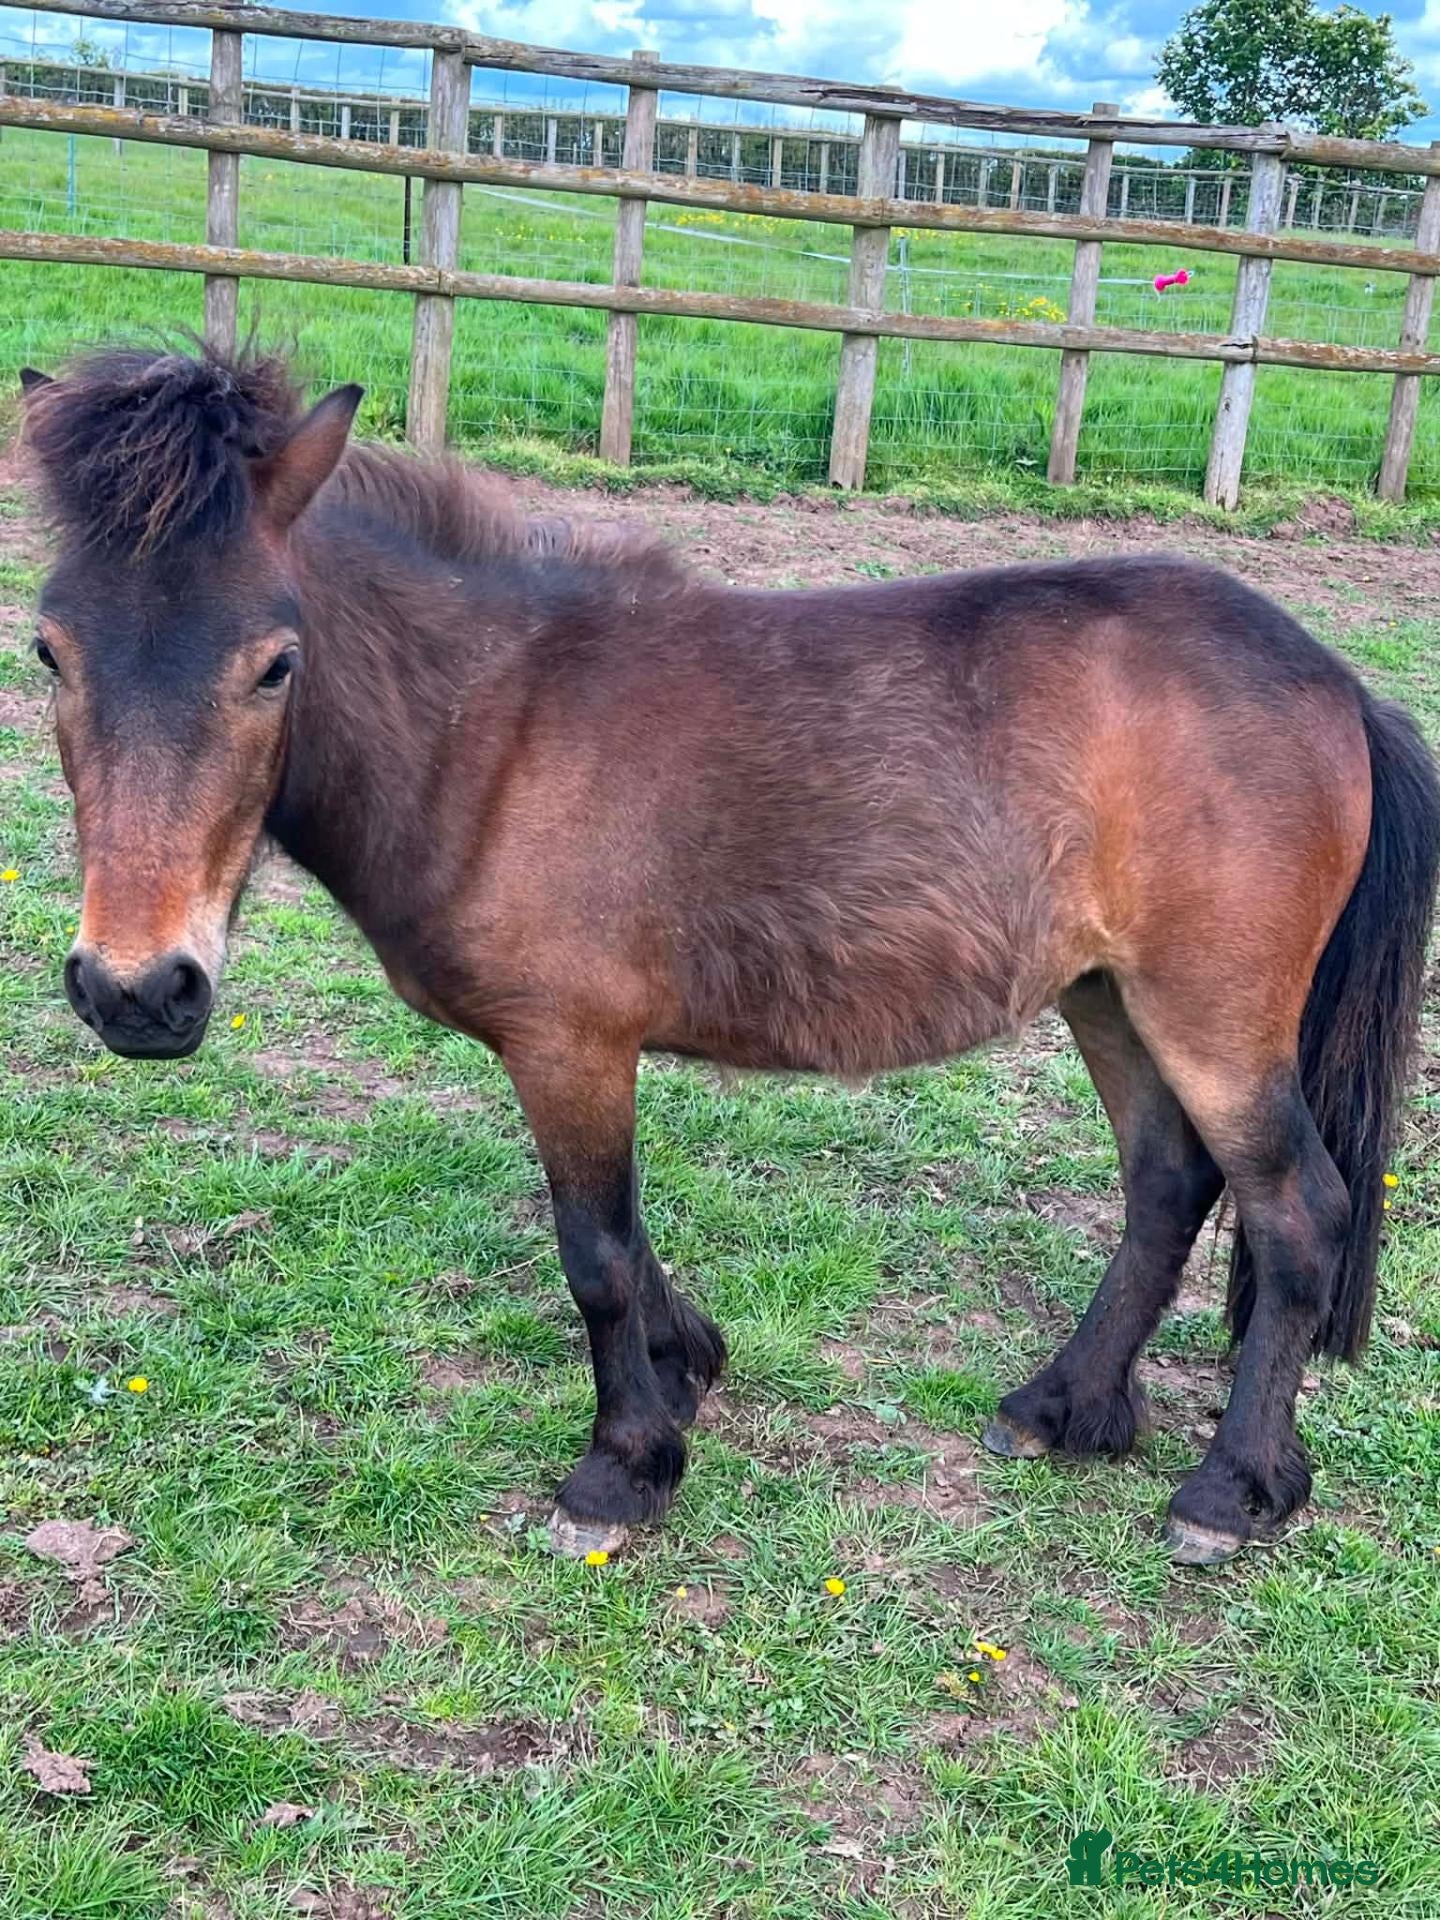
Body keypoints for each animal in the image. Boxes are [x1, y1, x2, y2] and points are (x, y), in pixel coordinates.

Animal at [19, 345, 1439, 1567]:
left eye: (275, 664)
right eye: (49, 649)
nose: (138, 992)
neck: (494, 729)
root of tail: (1334, 684)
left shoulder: (571, 1045)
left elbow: (594, 1250)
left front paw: (620, 1469)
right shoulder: (581, 1050)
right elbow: (626, 1240)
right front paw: (685, 1371)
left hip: (1212, 1016)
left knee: (1296, 1212)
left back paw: (1231, 1490)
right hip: (1108, 998)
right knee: (1165, 1183)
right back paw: (1062, 1407)